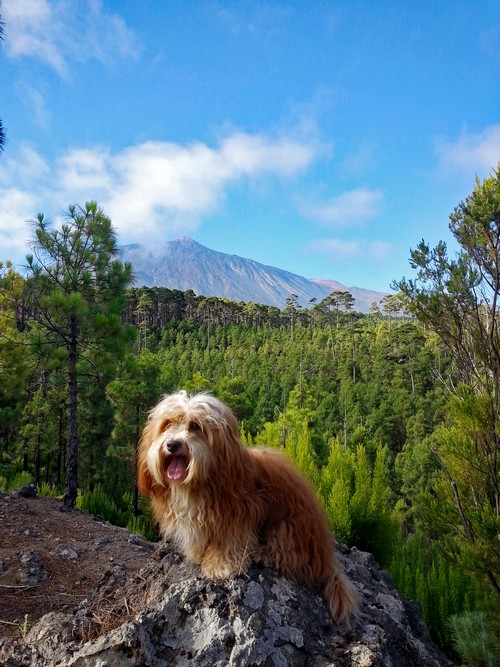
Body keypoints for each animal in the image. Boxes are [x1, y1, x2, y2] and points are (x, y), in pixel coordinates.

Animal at [136, 392, 360, 628]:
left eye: (195, 426)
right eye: (167, 424)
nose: (172, 444)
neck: (197, 484)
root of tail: (324, 554)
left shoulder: (239, 515)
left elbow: (228, 542)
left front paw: (221, 564)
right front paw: (198, 553)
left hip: (288, 528)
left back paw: (265, 554)